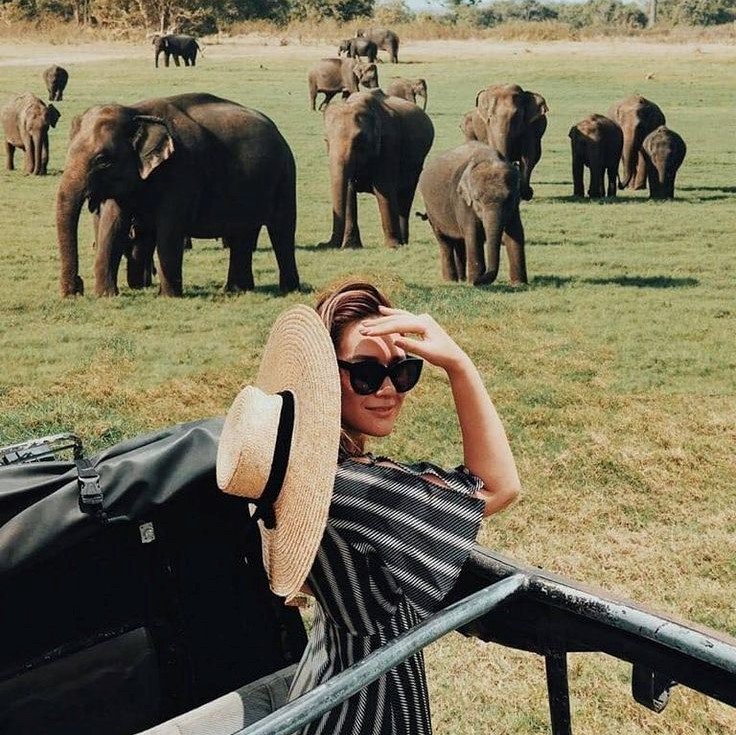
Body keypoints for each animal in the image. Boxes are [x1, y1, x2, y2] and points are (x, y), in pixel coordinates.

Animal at [56, 92, 300, 297]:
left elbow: (169, 227)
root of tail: (278, 131)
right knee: (244, 233)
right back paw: (238, 290)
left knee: (282, 230)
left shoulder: (183, 170)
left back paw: (289, 290)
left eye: (103, 160)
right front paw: (106, 296)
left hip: (285, 175)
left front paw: (168, 297)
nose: (77, 289)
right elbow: (112, 226)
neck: (135, 111)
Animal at [322, 89, 434, 250]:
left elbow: (384, 189)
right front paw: (351, 246)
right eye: (326, 140)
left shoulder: (389, 143)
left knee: (405, 197)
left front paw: (392, 247)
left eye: (359, 140)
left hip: (417, 165)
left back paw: (403, 242)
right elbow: (348, 191)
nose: (324, 244)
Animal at [419, 141, 526, 287]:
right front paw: (474, 282)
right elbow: (473, 234)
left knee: (459, 242)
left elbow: (516, 232)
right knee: (445, 242)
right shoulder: (463, 201)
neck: (489, 157)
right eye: (477, 199)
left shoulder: (514, 205)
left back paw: (462, 279)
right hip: (431, 211)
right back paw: (451, 280)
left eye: (509, 198)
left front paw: (519, 284)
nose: (478, 282)